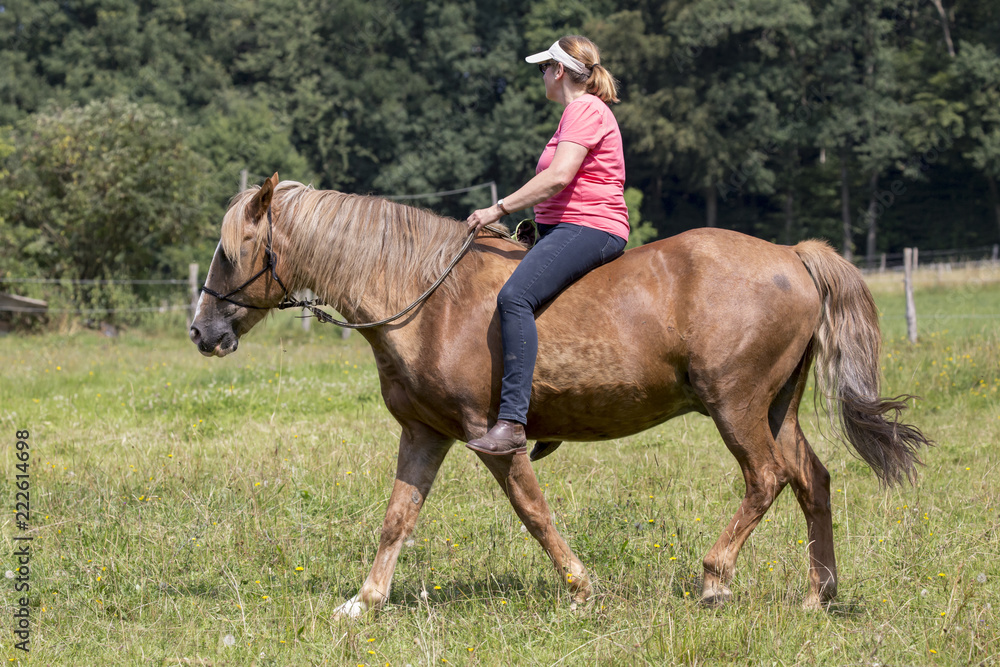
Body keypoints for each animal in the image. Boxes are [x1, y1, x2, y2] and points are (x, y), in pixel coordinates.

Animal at [189, 173, 930, 617]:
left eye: (229, 252)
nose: (202, 331)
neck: (426, 300)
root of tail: (792, 255)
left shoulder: (490, 438)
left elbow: (534, 512)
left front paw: (579, 585)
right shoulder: (423, 432)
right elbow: (398, 516)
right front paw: (366, 600)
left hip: (736, 404)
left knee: (768, 478)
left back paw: (716, 576)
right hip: (775, 407)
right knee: (813, 480)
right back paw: (818, 595)